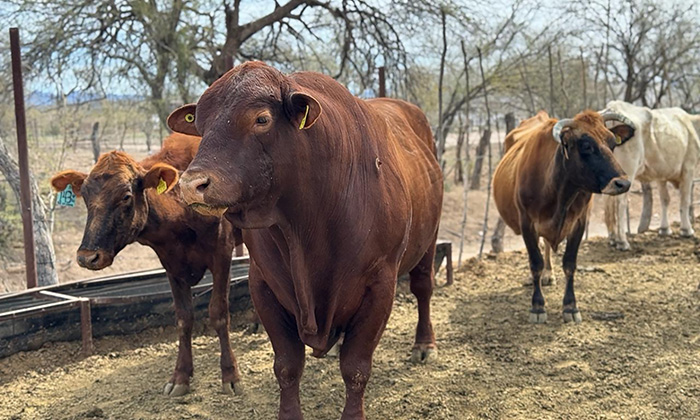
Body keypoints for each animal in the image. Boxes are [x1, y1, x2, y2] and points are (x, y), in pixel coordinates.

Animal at [51, 135, 243, 398]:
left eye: (125, 196)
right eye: (86, 197)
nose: (87, 257)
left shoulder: (222, 254)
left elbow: (219, 313)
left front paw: (230, 375)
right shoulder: (172, 265)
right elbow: (184, 317)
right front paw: (180, 376)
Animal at [168, 62, 442, 420]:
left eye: (261, 119)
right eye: (199, 124)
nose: (192, 184)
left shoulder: (380, 284)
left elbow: (356, 368)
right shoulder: (264, 284)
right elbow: (287, 367)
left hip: (428, 239)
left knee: (423, 287)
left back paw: (424, 344)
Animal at [492, 110, 636, 324]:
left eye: (612, 143)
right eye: (587, 146)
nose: (623, 183)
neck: (558, 191)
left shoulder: (579, 223)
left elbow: (569, 264)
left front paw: (570, 306)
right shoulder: (527, 223)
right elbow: (535, 262)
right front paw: (537, 306)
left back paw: (548, 274)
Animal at [600, 100, 700, 249]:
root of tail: (613, 107)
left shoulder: (662, 173)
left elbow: (665, 199)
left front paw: (664, 229)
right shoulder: (689, 168)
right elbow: (685, 200)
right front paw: (687, 230)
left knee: (609, 202)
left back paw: (612, 238)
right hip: (628, 170)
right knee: (620, 203)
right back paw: (622, 241)